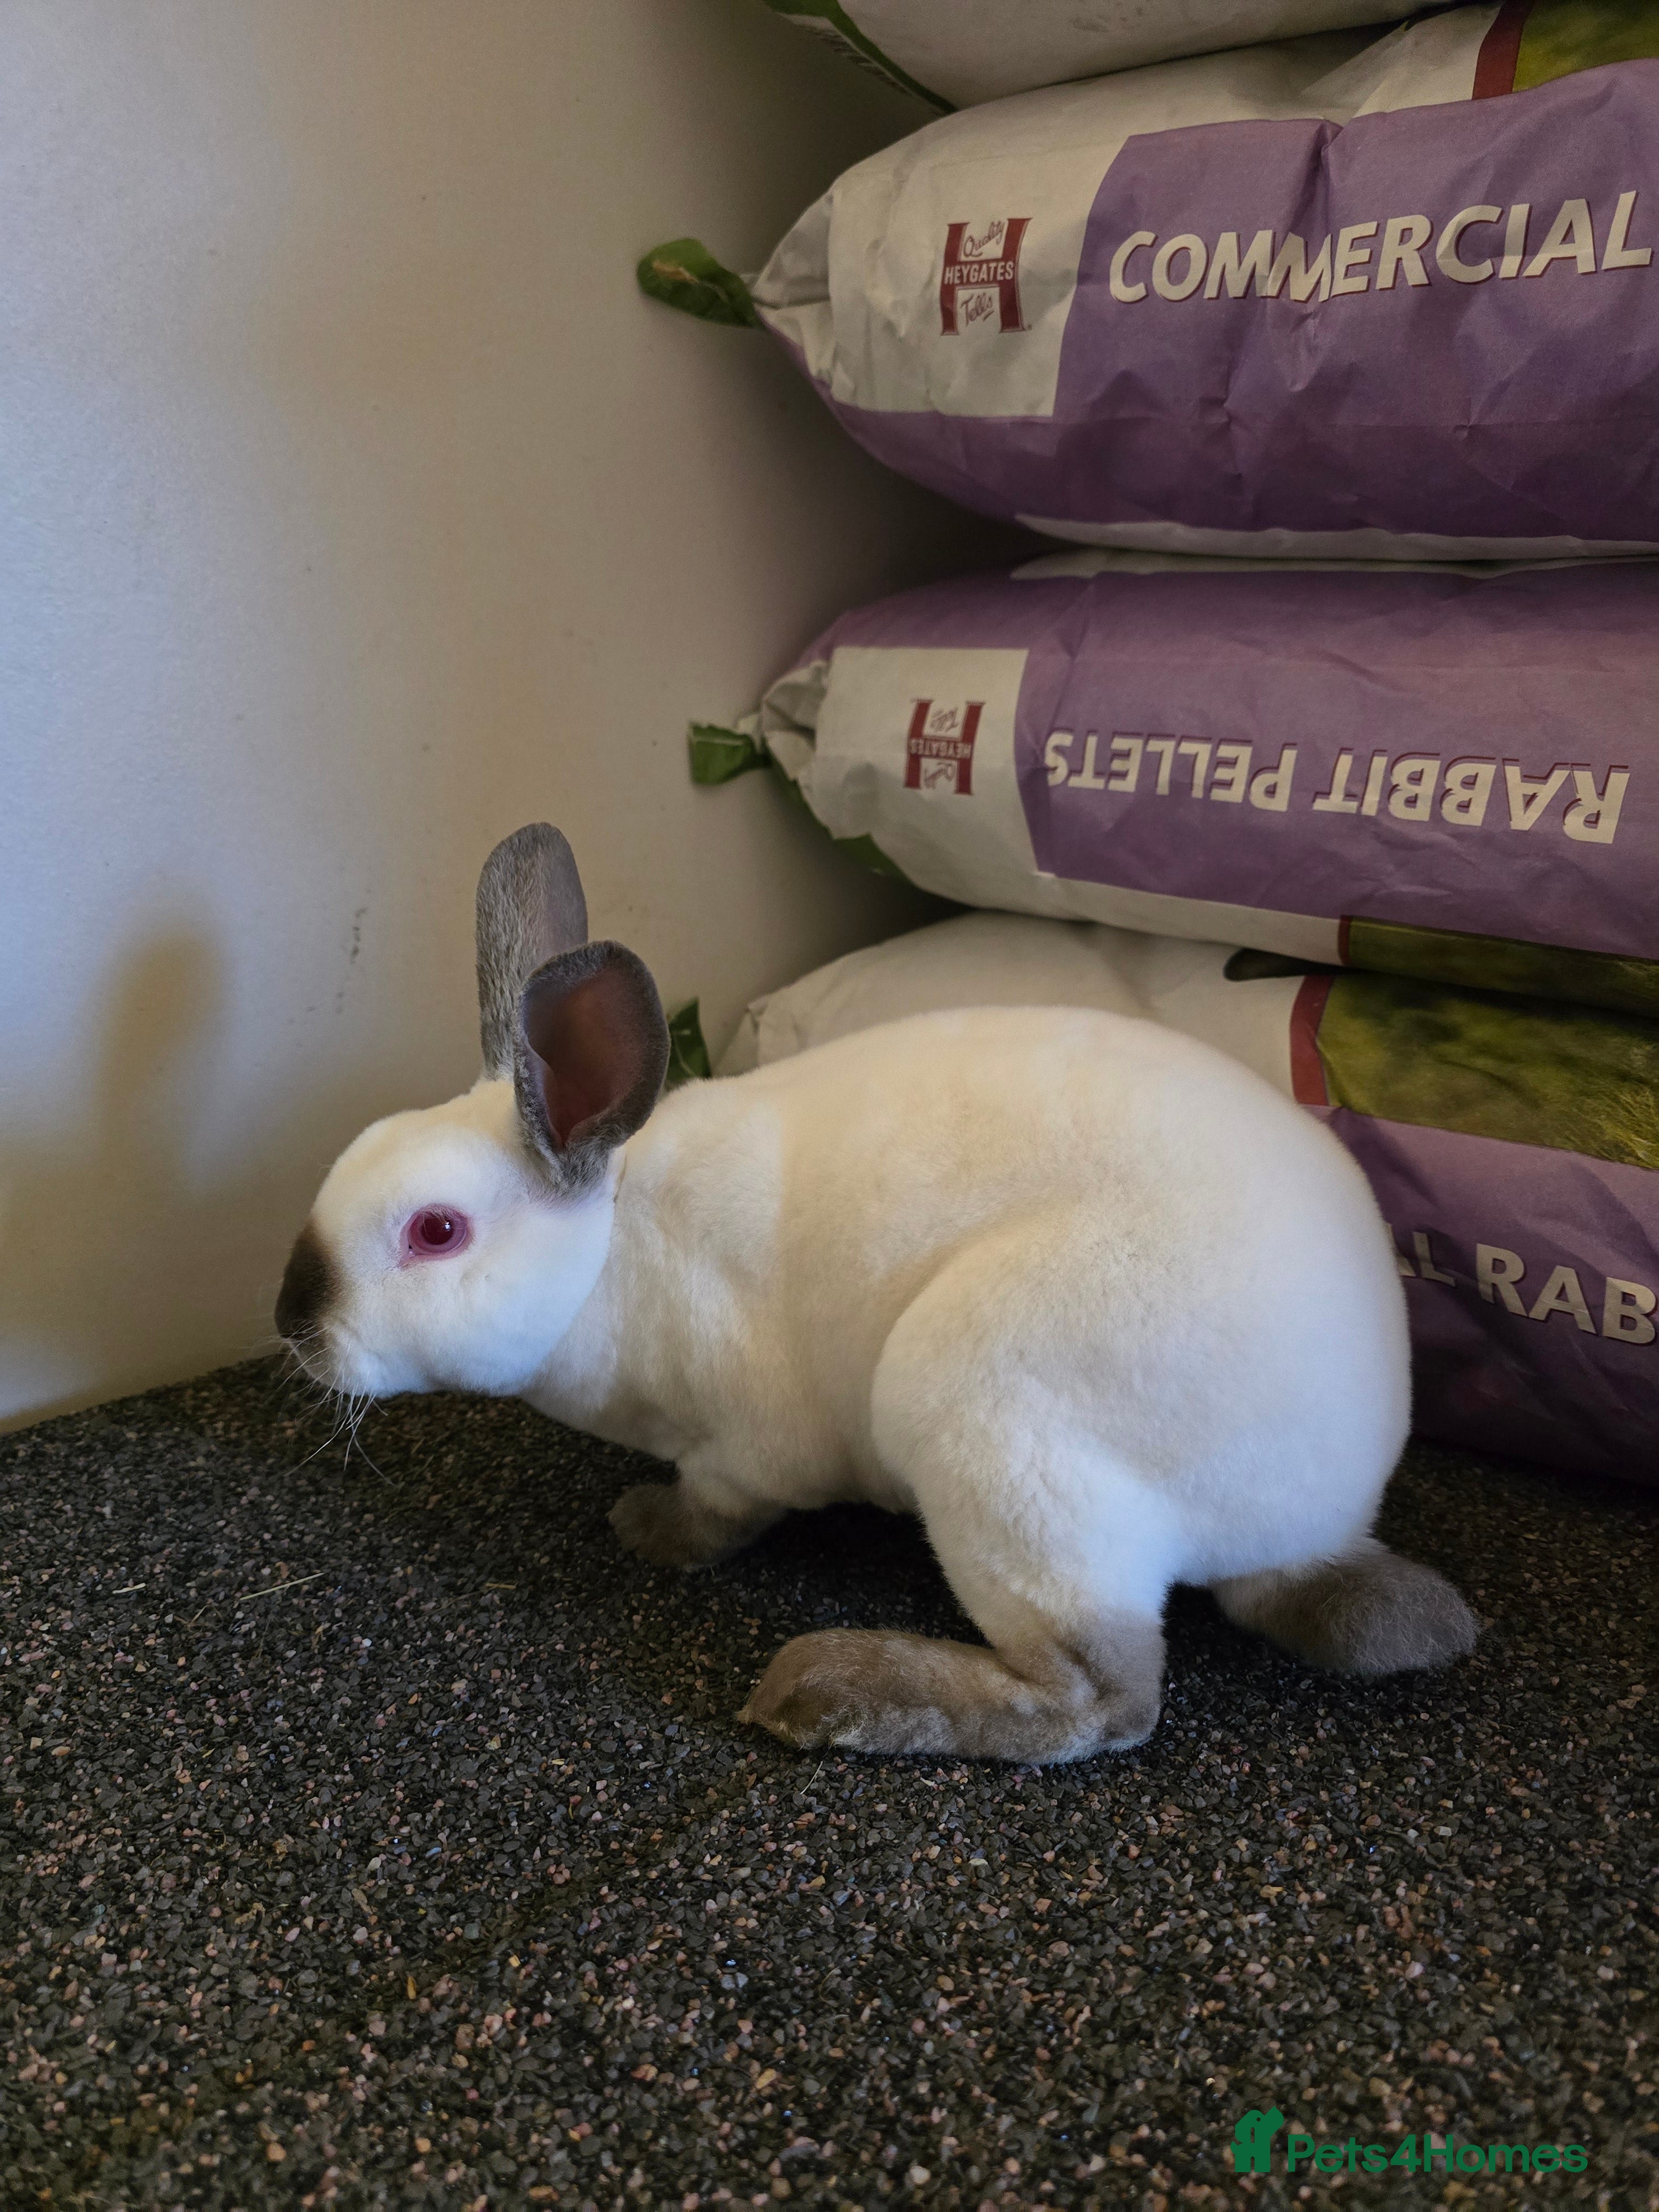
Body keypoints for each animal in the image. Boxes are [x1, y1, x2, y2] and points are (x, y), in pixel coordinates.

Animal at [276, 823, 1475, 1764]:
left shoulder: (745, 1449)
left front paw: (645, 1528)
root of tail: (1322, 1515)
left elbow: (718, 1514)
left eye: (436, 1232)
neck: (614, 1251)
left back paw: (824, 1691)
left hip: (988, 1422)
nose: (292, 1323)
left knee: (1102, 1695)